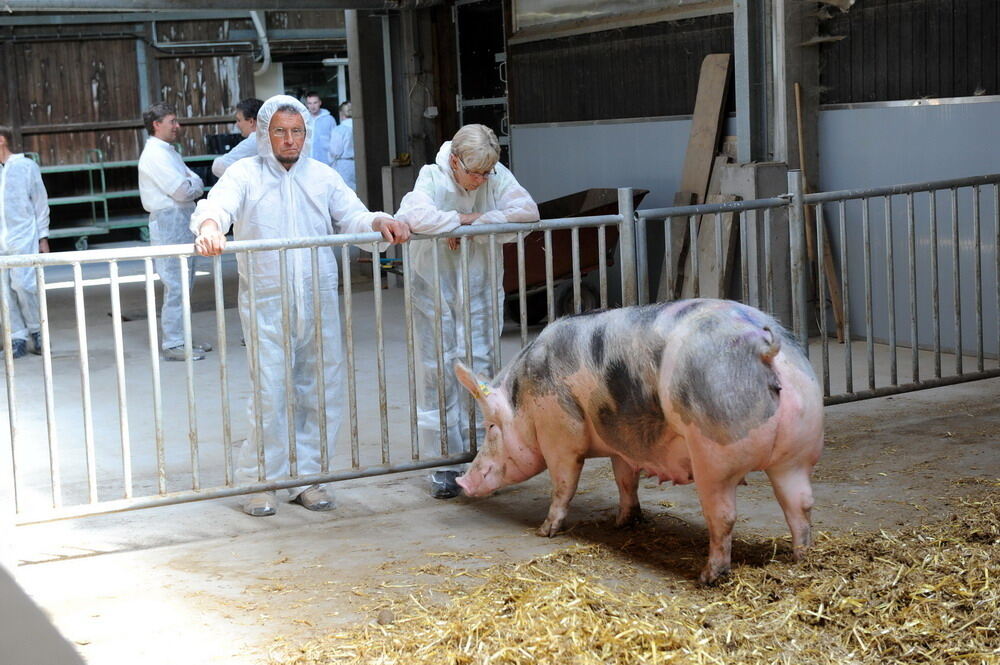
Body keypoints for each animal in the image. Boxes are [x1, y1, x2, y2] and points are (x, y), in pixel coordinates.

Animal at [458, 298, 824, 584]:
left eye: (490, 426)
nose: (462, 481)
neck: (524, 398)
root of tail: (762, 344)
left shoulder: (561, 433)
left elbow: (564, 483)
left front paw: (545, 531)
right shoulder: (621, 443)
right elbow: (625, 480)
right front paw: (622, 522)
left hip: (715, 451)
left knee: (724, 516)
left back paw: (708, 577)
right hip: (797, 451)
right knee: (800, 504)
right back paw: (801, 559)